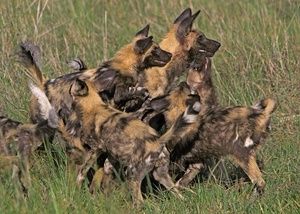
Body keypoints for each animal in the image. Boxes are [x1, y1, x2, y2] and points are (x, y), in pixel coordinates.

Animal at [66, 77, 202, 206]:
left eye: (71, 85)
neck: (93, 106)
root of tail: (158, 141)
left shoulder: (96, 148)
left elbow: (82, 171)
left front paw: (78, 186)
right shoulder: (113, 153)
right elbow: (106, 170)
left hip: (132, 175)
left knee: (139, 202)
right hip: (160, 175)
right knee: (177, 193)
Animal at [151, 53, 278, 196]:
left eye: (195, 68)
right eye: (180, 87)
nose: (183, 81)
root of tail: (262, 113)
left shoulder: (176, 163)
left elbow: (173, 183)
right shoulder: (196, 164)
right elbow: (181, 183)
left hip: (241, 154)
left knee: (259, 181)